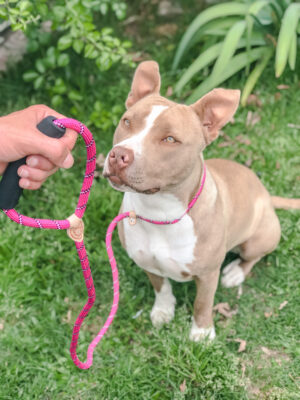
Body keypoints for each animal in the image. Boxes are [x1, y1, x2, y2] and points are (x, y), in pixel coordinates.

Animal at [103, 60, 300, 340]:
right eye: (127, 121)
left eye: (170, 139)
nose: (118, 155)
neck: (159, 212)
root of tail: (266, 194)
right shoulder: (148, 264)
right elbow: (162, 288)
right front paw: (163, 310)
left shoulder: (208, 275)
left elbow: (202, 303)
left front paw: (202, 333)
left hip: (260, 238)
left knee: (253, 257)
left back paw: (236, 272)